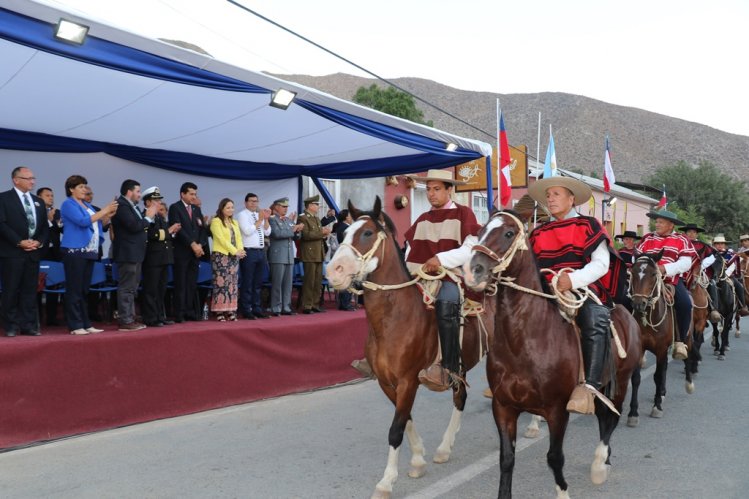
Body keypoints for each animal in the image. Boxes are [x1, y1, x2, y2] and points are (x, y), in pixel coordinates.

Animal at [326, 197, 490, 498]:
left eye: (367, 233)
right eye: (343, 234)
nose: (333, 272)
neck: (393, 321)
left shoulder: (408, 380)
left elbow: (395, 429)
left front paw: (386, 482)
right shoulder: (388, 383)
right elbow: (406, 419)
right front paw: (417, 460)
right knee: (460, 398)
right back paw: (444, 449)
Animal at [462, 213, 636, 499]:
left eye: (509, 233)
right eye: (480, 231)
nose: (471, 271)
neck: (525, 341)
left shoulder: (556, 410)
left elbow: (555, 457)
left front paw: (563, 492)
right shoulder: (503, 407)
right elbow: (506, 458)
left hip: (620, 382)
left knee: (611, 418)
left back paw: (600, 465)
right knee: (604, 417)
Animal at [624, 252, 696, 424]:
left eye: (653, 274)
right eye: (633, 273)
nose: (639, 304)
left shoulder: (662, 349)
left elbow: (657, 376)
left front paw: (657, 407)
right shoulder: (641, 348)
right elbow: (636, 378)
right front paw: (633, 413)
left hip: (687, 338)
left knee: (687, 357)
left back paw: (689, 384)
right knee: (664, 369)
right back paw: (662, 393)